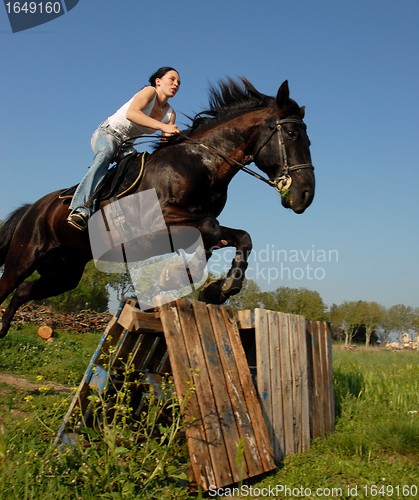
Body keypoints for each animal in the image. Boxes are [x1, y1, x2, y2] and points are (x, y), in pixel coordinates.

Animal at [0, 77, 316, 336]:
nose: (305, 195)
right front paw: (181, 278)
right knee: (8, 284)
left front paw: (219, 289)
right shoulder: (161, 221)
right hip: (23, 258)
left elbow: (238, 238)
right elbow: (212, 230)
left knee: (24, 291)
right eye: (292, 134)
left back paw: (3, 331)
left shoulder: (194, 223)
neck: (202, 163)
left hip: (64, 272)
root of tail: (32, 208)